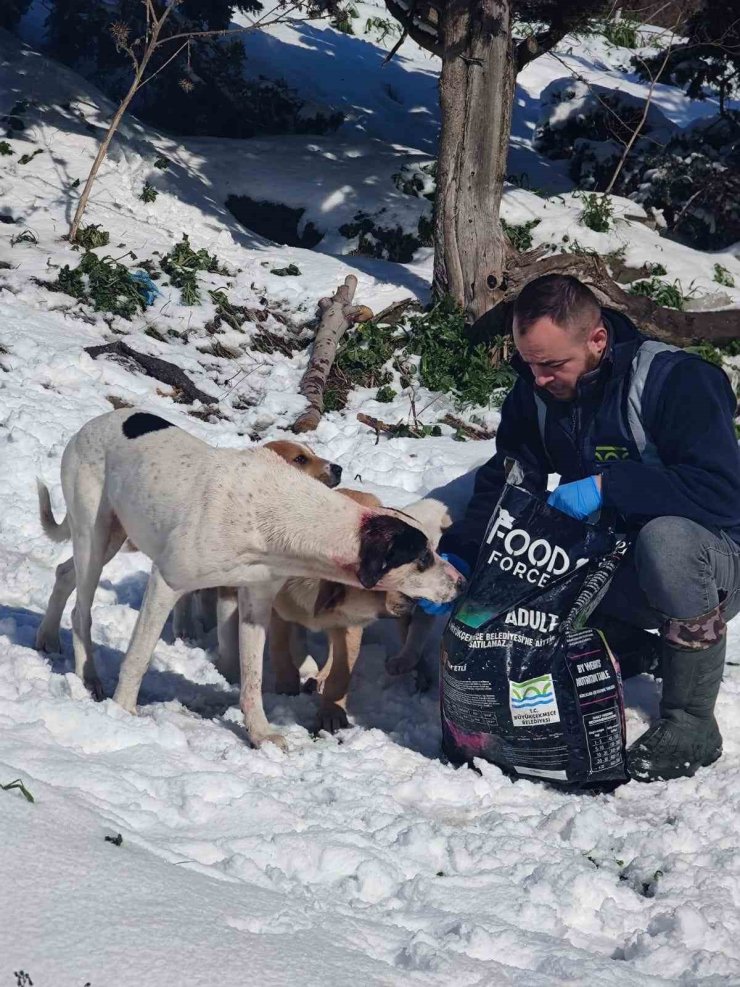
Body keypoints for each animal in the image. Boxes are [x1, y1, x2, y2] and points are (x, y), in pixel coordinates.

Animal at [37, 410, 462, 748]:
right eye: (423, 557)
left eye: (434, 549)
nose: (461, 583)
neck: (276, 514)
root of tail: (92, 423)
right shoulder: (166, 583)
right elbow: (138, 658)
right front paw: (124, 713)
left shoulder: (256, 605)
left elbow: (254, 679)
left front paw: (260, 734)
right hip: (93, 537)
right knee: (81, 610)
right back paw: (88, 677)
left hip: (109, 538)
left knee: (63, 573)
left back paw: (47, 639)